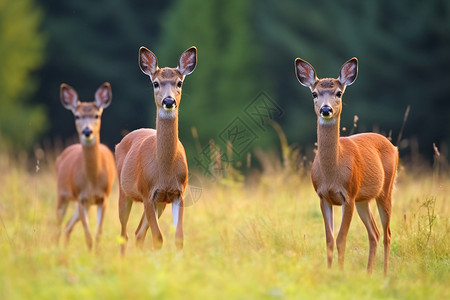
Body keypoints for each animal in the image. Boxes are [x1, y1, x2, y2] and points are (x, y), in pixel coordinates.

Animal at [55, 82, 116, 251]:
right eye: (77, 116)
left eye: (97, 115)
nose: (87, 131)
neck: (93, 180)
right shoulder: (80, 197)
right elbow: (88, 236)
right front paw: (90, 254)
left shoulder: (104, 197)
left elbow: (98, 234)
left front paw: (97, 254)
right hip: (62, 194)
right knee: (58, 226)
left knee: (67, 226)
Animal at [115, 45, 196, 254]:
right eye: (155, 83)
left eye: (179, 82)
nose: (169, 101)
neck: (164, 170)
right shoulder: (147, 193)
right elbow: (158, 237)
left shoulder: (178, 194)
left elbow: (179, 237)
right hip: (124, 191)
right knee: (124, 234)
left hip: (159, 203)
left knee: (138, 233)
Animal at [296, 56, 398, 274]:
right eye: (314, 93)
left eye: (339, 93)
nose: (326, 109)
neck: (331, 174)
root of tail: (392, 146)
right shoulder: (323, 197)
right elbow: (329, 239)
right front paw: (329, 271)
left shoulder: (348, 195)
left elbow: (341, 239)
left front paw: (341, 272)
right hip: (363, 200)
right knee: (375, 233)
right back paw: (368, 273)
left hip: (385, 191)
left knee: (387, 234)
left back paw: (385, 273)